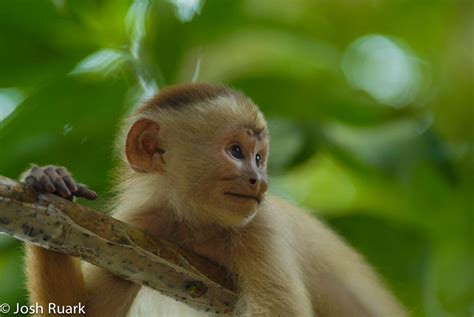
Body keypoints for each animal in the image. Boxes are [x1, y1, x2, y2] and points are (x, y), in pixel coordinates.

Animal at [22, 82, 406, 314]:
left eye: (259, 158)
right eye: (237, 151)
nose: (258, 180)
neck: (197, 225)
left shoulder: (260, 228)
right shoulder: (139, 226)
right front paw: (49, 188)